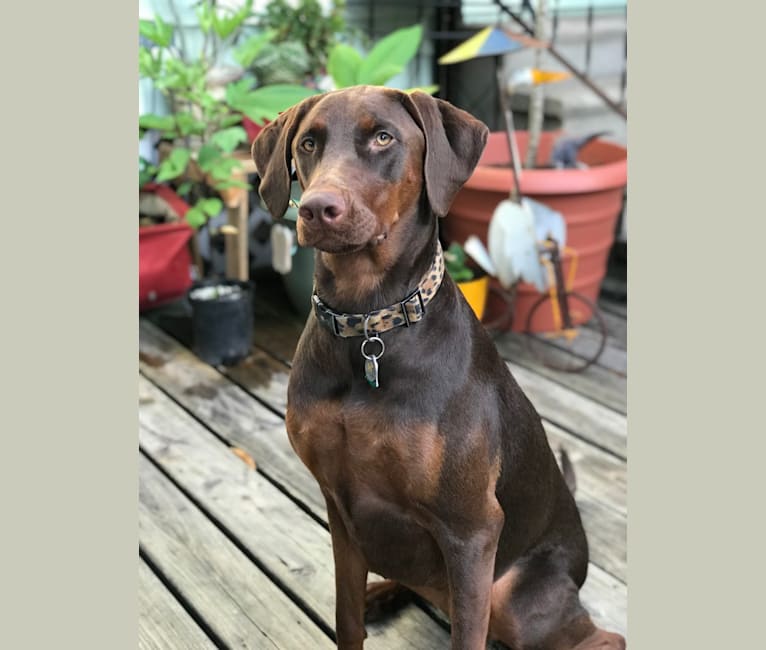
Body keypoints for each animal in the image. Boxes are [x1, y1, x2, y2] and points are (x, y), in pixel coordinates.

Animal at [255, 86, 628, 648]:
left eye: (383, 137)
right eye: (308, 143)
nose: (319, 209)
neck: (369, 326)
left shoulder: (471, 529)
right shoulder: (341, 510)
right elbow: (347, 620)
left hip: (512, 594)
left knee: (597, 637)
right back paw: (383, 593)